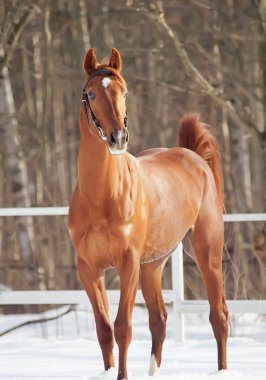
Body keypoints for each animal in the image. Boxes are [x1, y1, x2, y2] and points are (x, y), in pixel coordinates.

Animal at [68, 48, 229, 380]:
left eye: (125, 91)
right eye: (91, 93)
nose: (118, 137)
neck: (102, 197)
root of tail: (194, 158)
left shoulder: (127, 264)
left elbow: (123, 327)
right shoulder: (88, 269)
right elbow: (104, 330)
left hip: (206, 252)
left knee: (218, 315)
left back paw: (222, 370)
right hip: (153, 265)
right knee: (160, 319)